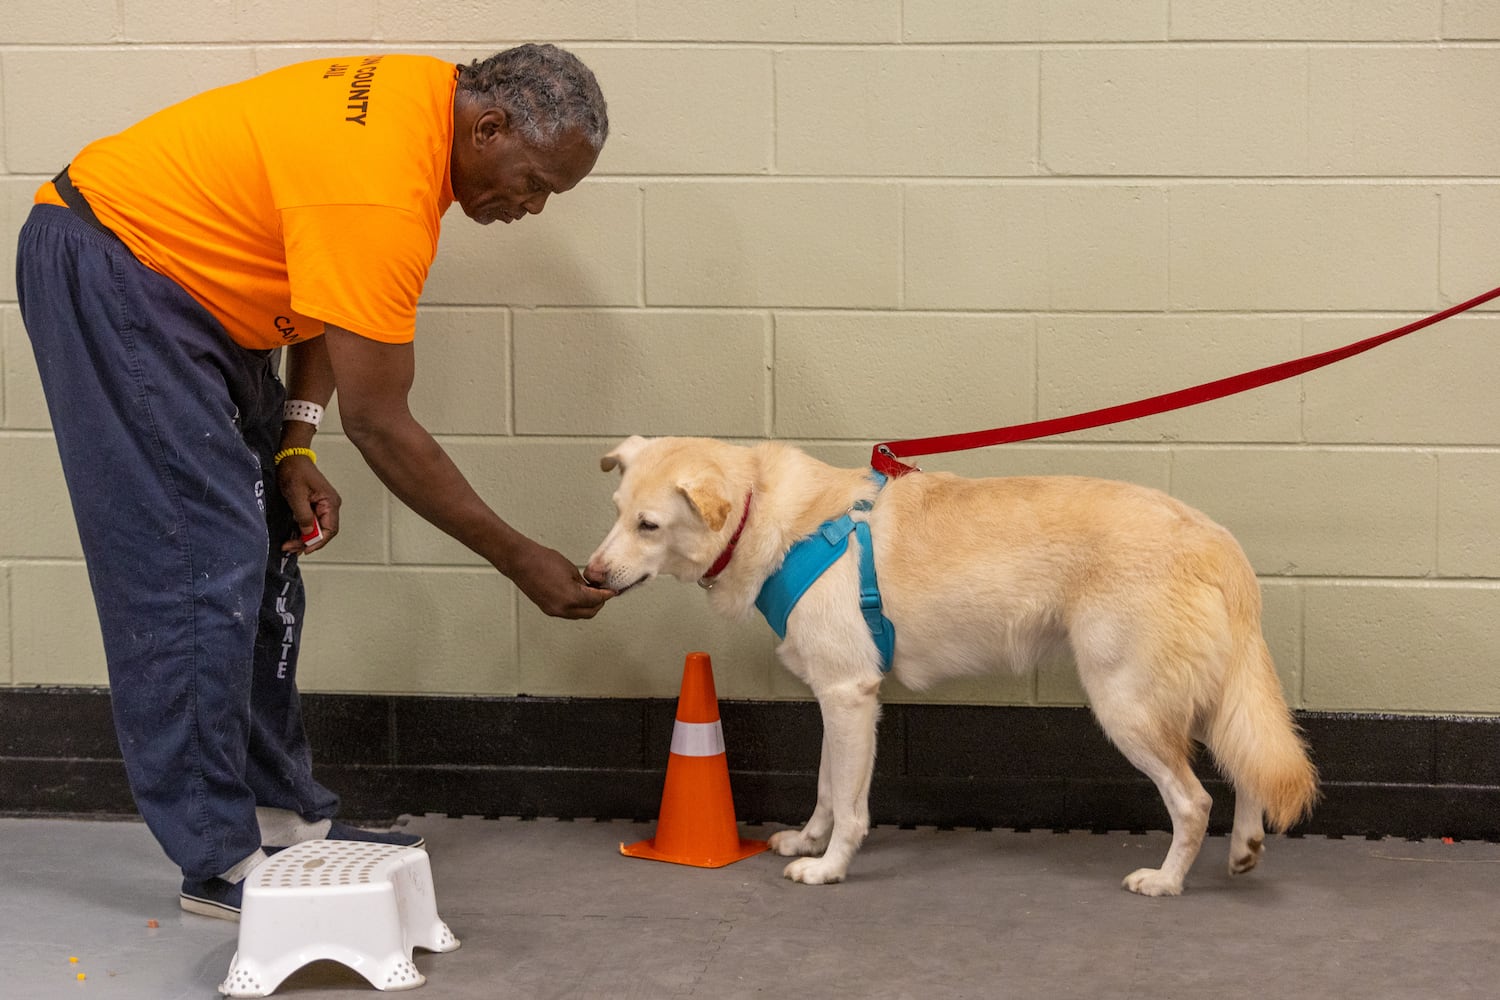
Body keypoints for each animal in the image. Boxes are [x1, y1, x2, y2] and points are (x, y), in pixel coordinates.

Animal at [582, 434, 1314, 893]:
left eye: (649, 525)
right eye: (614, 513)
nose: (589, 575)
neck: (775, 517)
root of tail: (1213, 537)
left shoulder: (849, 696)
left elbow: (851, 806)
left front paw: (830, 868)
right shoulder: (838, 696)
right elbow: (826, 788)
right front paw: (809, 843)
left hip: (1127, 705)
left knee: (1194, 800)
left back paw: (1165, 881)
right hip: (1201, 696)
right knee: (1248, 767)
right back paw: (1244, 850)